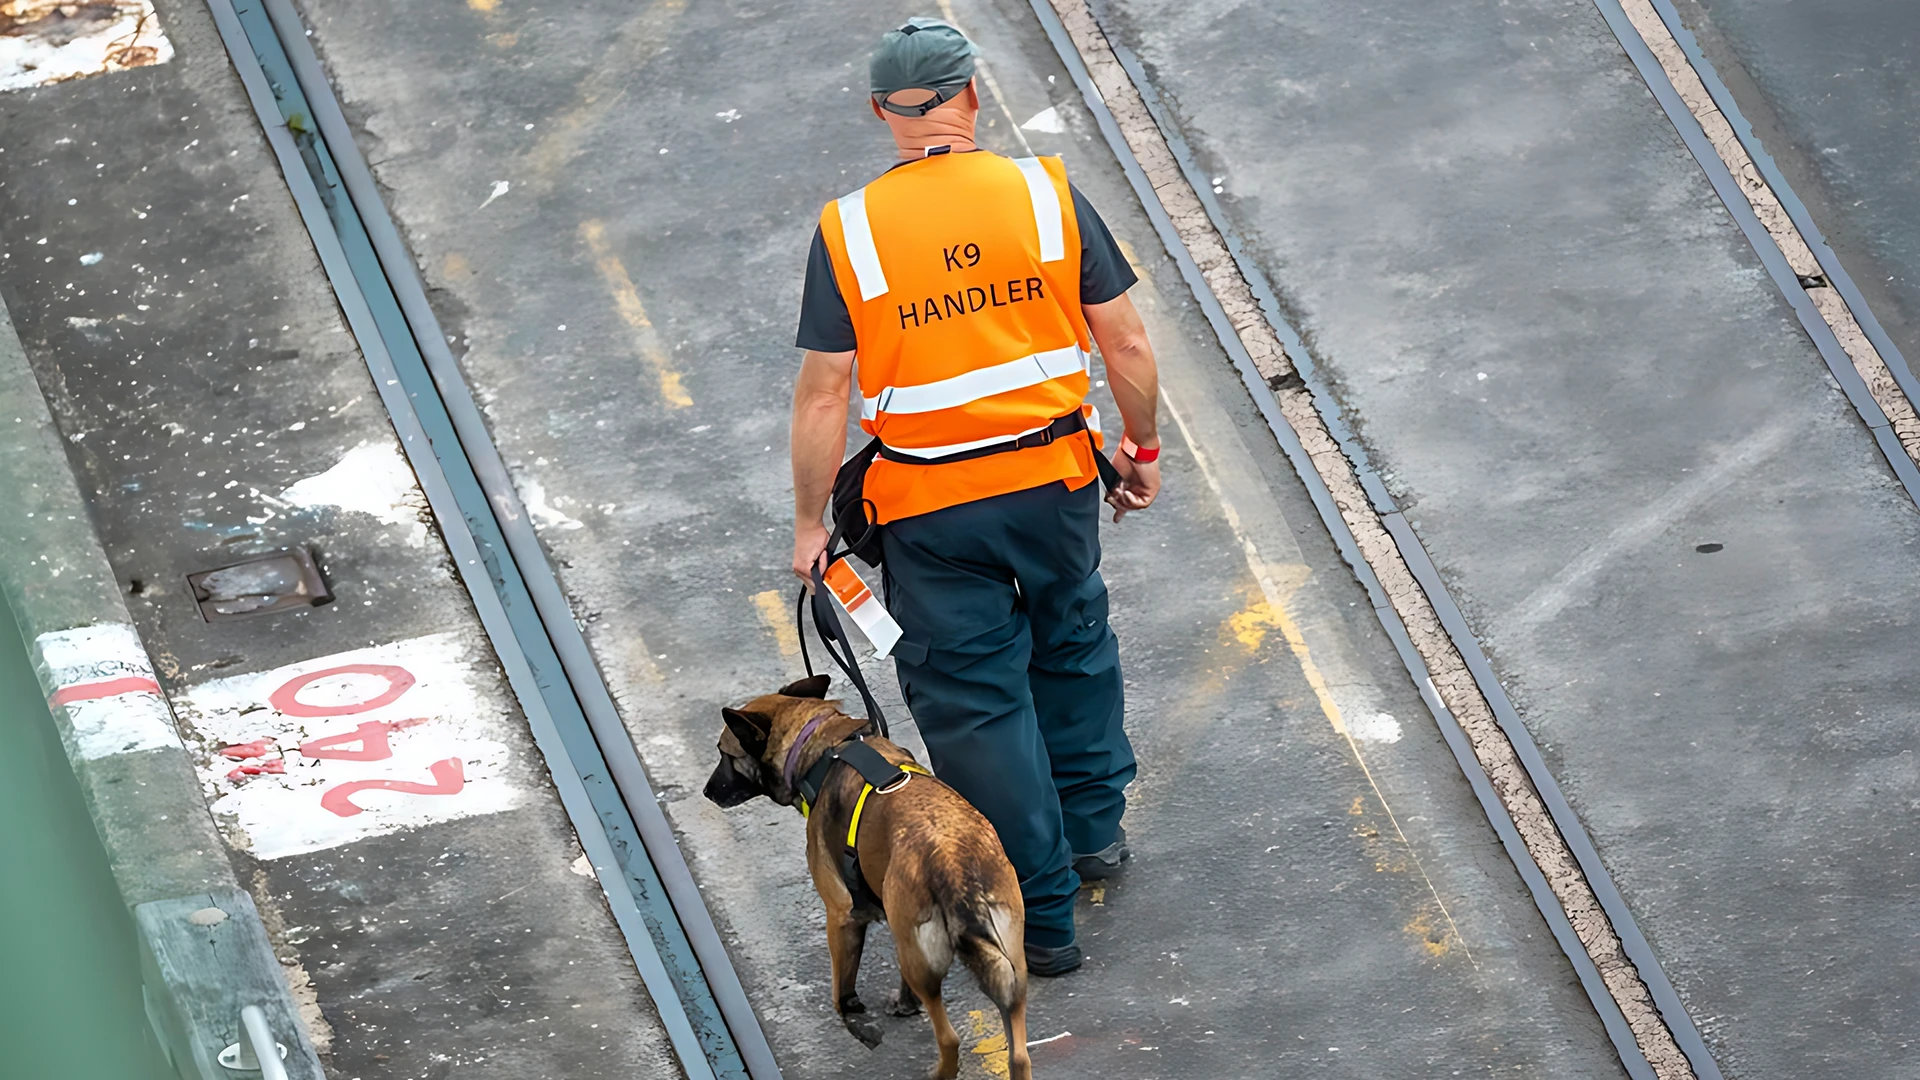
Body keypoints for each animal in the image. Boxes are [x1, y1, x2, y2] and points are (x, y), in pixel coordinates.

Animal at [710, 672, 1036, 1076]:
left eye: (724, 754)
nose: (707, 792)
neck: (821, 746)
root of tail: (953, 865)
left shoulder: (841, 916)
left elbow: (841, 986)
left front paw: (854, 1018)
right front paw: (902, 1005)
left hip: (925, 964)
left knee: (949, 1038)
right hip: (1007, 966)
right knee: (1018, 1054)